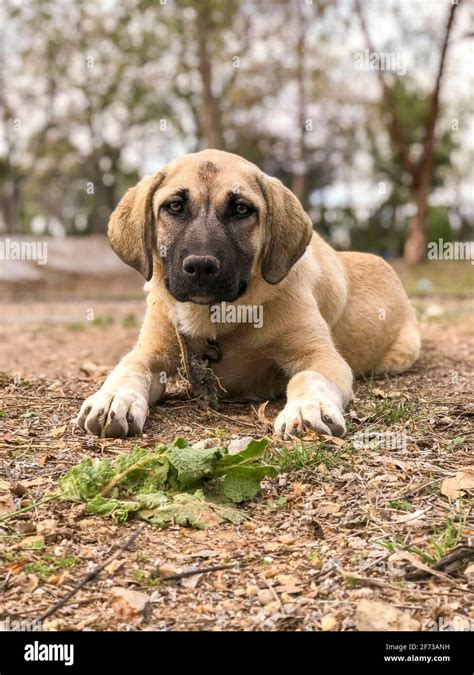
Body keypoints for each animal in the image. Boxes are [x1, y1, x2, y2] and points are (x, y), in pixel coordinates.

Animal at [76, 151, 420, 440]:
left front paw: (307, 409)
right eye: (174, 206)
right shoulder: (153, 350)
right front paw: (113, 398)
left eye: (241, 209)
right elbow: (128, 367)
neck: (219, 317)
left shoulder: (319, 355)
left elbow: (308, 378)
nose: (201, 266)